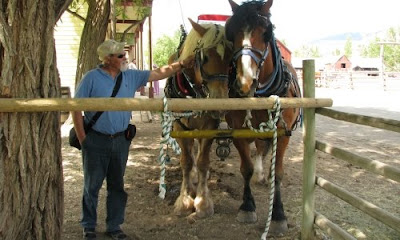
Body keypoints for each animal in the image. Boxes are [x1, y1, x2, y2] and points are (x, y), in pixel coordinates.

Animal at [165, 18, 234, 223]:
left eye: (230, 60)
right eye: (205, 57)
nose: (219, 103)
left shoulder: (209, 126)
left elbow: (203, 161)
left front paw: (203, 202)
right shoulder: (180, 127)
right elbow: (186, 162)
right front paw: (184, 200)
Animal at [225, 0, 300, 236]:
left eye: (266, 33)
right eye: (231, 32)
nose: (245, 83)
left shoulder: (283, 134)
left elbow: (278, 172)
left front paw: (278, 215)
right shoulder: (239, 132)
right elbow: (246, 168)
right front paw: (247, 206)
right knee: (258, 148)